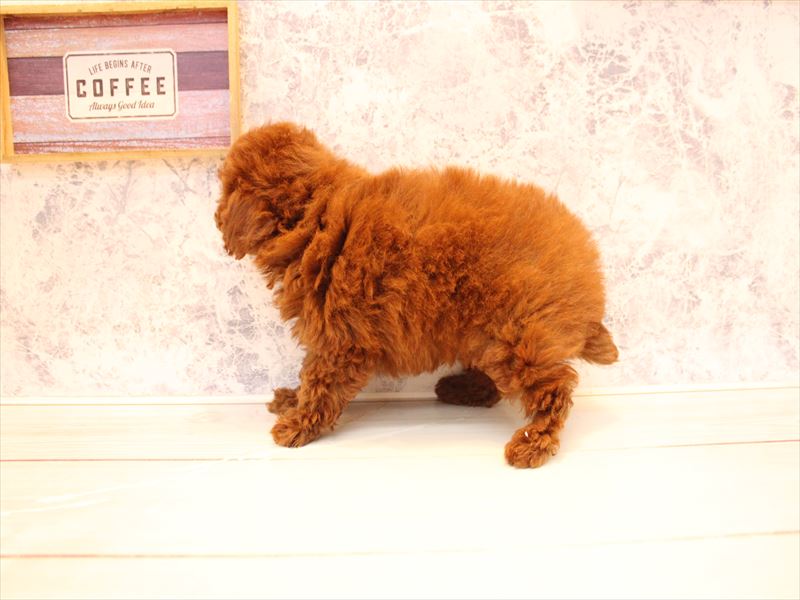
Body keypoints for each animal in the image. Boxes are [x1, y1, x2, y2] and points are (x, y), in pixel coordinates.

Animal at [215, 122, 618, 468]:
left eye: (226, 189)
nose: (218, 217)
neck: (316, 215)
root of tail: (587, 275)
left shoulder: (340, 340)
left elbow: (319, 383)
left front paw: (298, 423)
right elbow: (308, 376)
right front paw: (291, 401)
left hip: (521, 335)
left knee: (555, 386)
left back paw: (534, 441)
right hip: (490, 333)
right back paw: (465, 389)